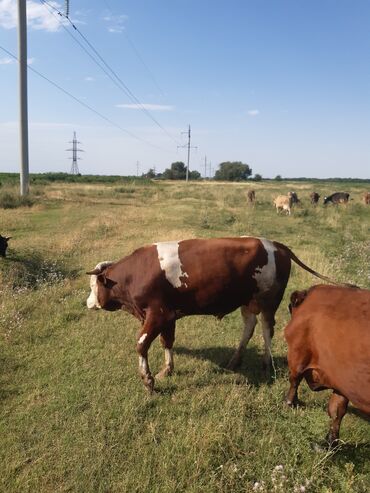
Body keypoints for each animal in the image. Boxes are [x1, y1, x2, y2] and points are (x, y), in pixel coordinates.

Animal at [86, 236, 338, 390]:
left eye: (92, 285)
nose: (88, 302)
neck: (135, 274)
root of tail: (276, 245)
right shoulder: (168, 315)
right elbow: (167, 342)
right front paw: (167, 370)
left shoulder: (158, 315)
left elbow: (141, 345)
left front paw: (148, 380)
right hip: (248, 302)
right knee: (249, 327)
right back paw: (235, 361)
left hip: (267, 301)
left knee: (267, 330)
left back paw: (267, 364)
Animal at [284, 282, 368, 448]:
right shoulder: (342, 379)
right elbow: (337, 410)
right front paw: (330, 443)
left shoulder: (298, 354)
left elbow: (294, 381)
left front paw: (290, 402)